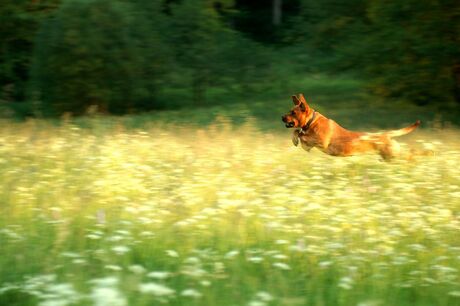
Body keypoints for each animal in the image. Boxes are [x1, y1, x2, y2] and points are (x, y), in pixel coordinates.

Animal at [280, 93, 420, 160]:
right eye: (290, 111)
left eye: (293, 113)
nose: (282, 117)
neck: (311, 121)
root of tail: (385, 134)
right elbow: (298, 131)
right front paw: (294, 138)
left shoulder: (320, 141)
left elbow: (300, 134)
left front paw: (296, 139)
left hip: (391, 156)